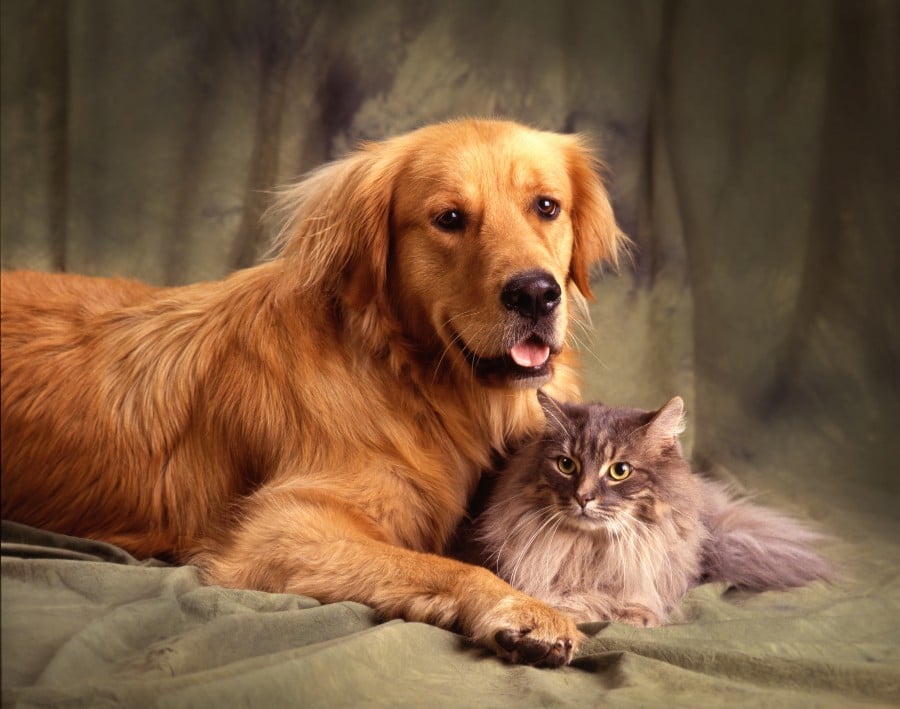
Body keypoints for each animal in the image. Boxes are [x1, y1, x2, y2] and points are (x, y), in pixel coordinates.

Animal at [0, 119, 624, 668]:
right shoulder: (283, 528)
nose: (536, 293)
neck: (413, 380)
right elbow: (446, 566)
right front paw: (523, 611)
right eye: (449, 218)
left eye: (546, 206)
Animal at [468, 392, 832, 624]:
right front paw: (582, 608)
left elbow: (638, 599)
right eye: (567, 465)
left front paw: (632, 613)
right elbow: (563, 599)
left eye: (619, 471)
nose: (583, 497)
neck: (591, 551)